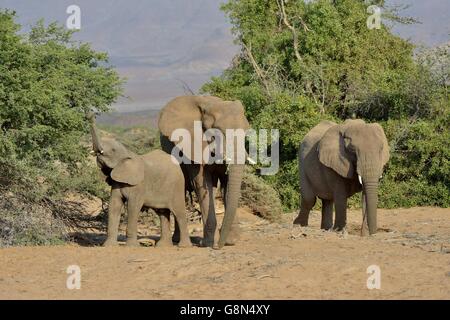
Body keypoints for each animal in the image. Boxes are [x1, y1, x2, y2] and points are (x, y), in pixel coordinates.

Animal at [88, 112, 192, 248]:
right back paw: (162, 246)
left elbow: (133, 206)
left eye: (113, 150)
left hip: (177, 186)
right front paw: (108, 246)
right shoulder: (117, 182)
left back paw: (184, 246)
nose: (90, 114)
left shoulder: (139, 185)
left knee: (179, 213)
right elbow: (114, 205)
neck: (128, 153)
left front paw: (131, 247)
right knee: (163, 213)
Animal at [157, 94, 250, 248]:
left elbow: (226, 184)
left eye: (246, 132)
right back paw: (177, 240)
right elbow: (201, 182)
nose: (218, 246)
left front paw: (231, 242)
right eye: (217, 132)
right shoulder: (193, 144)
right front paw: (208, 243)